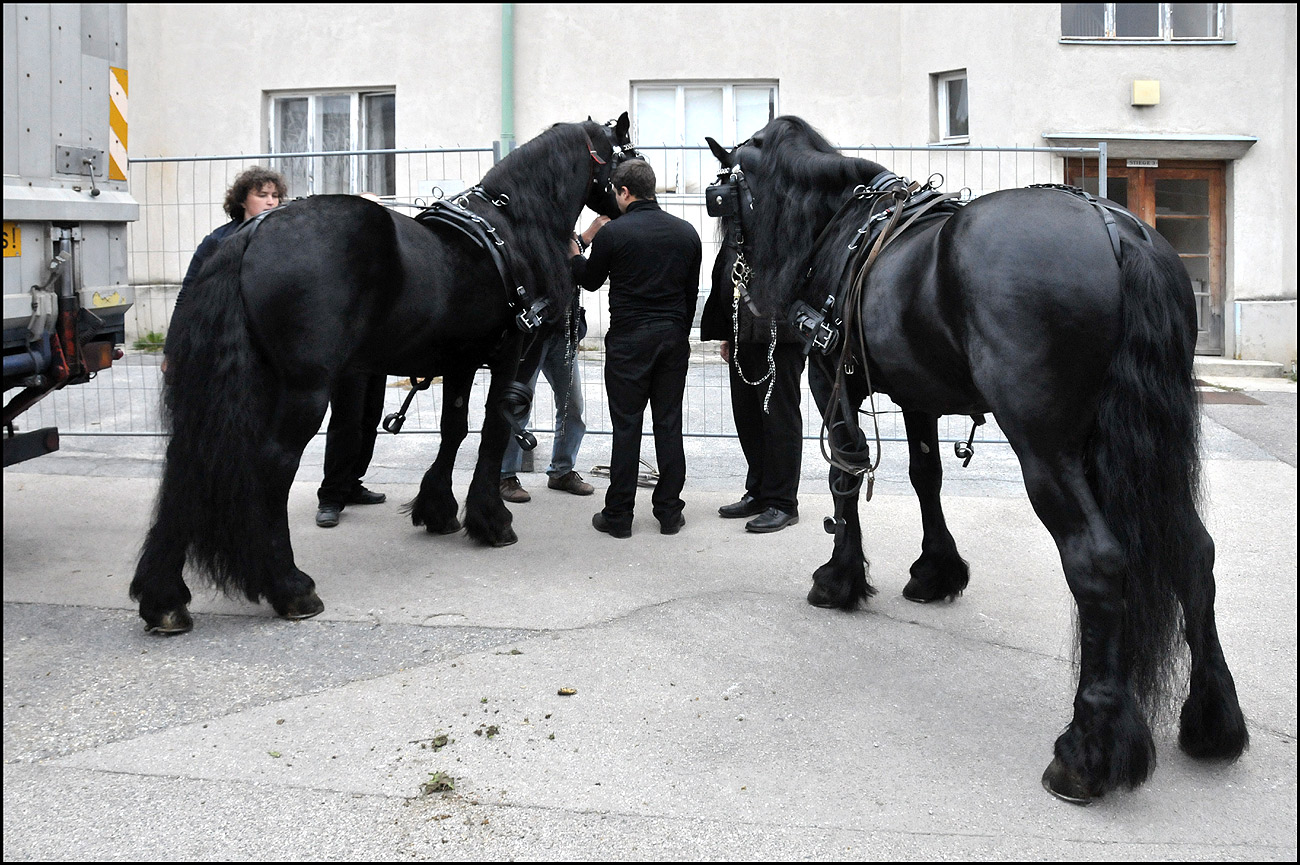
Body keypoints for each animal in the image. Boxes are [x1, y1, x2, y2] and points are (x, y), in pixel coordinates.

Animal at [130, 115, 637, 636]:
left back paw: (164, 597)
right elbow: (495, 428)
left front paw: (438, 509)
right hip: (305, 389)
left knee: (191, 457)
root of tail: (252, 233)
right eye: (628, 152)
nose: (635, 197)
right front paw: (491, 520)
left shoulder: (459, 361)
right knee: (274, 463)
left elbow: (453, 429)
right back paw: (290, 586)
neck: (512, 228)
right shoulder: (511, 354)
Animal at [705, 116, 1248, 803]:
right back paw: (1213, 720)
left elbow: (844, 475)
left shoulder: (832, 378)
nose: (738, 315)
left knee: (1098, 563)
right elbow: (925, 476)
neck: (839, 228)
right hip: (1140, 446)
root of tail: (1115, 229)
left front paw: (840, 578)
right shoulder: (917, 395)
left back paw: (1087, 751)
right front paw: (938, 570)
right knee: (1192, 552)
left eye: (723, 201)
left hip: (1046, 447)